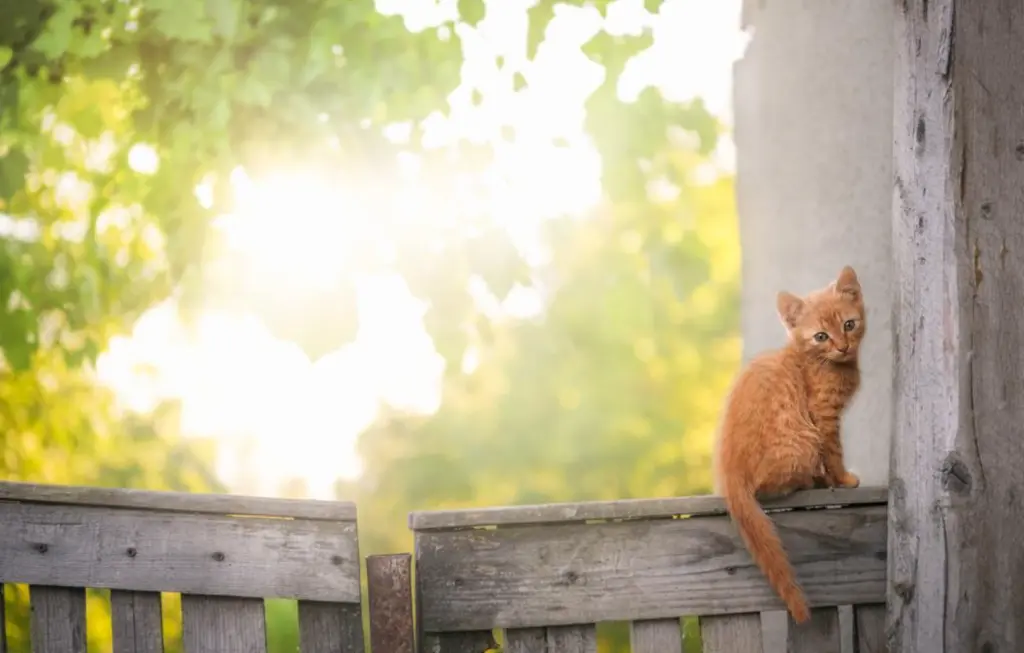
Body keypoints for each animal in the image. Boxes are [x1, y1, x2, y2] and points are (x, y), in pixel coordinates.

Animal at [716, 266, 868, 622]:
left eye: (848, 324)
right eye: (821, 337)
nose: (843, 347)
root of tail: (729, 471)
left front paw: (833, 479)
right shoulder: (823, 417)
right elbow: (834, 451)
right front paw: (842, 479)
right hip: (803, 440)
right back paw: (809, 480)